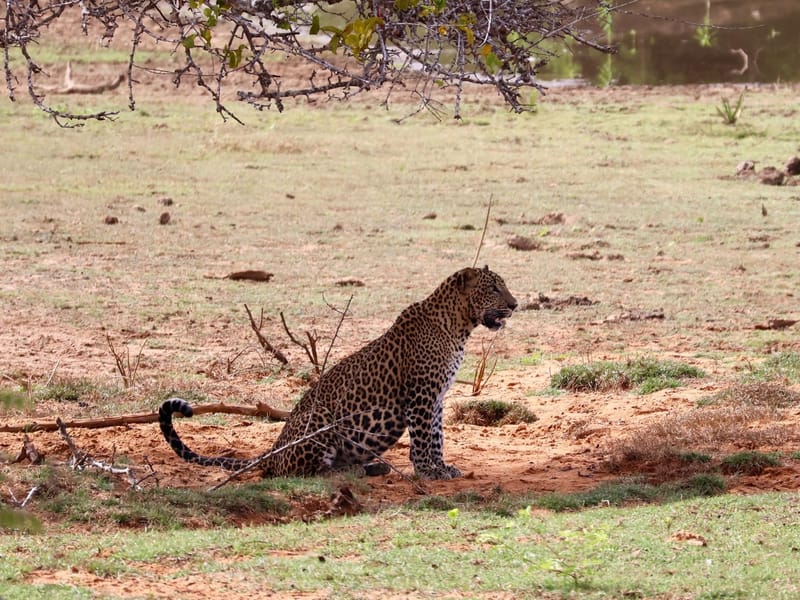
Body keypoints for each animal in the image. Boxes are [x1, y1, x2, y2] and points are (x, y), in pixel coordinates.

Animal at [159, 265, 517, 480]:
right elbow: (423, 438)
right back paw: (347, 473)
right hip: (319, 421)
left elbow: (438, 436)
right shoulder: (421, 395)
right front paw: (429, 471)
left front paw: (442, 467)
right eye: (494, 288)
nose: (515, 305)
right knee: (300, 473)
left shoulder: (437, 397)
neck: (459, 326)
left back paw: (373, 467)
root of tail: (274, 450)